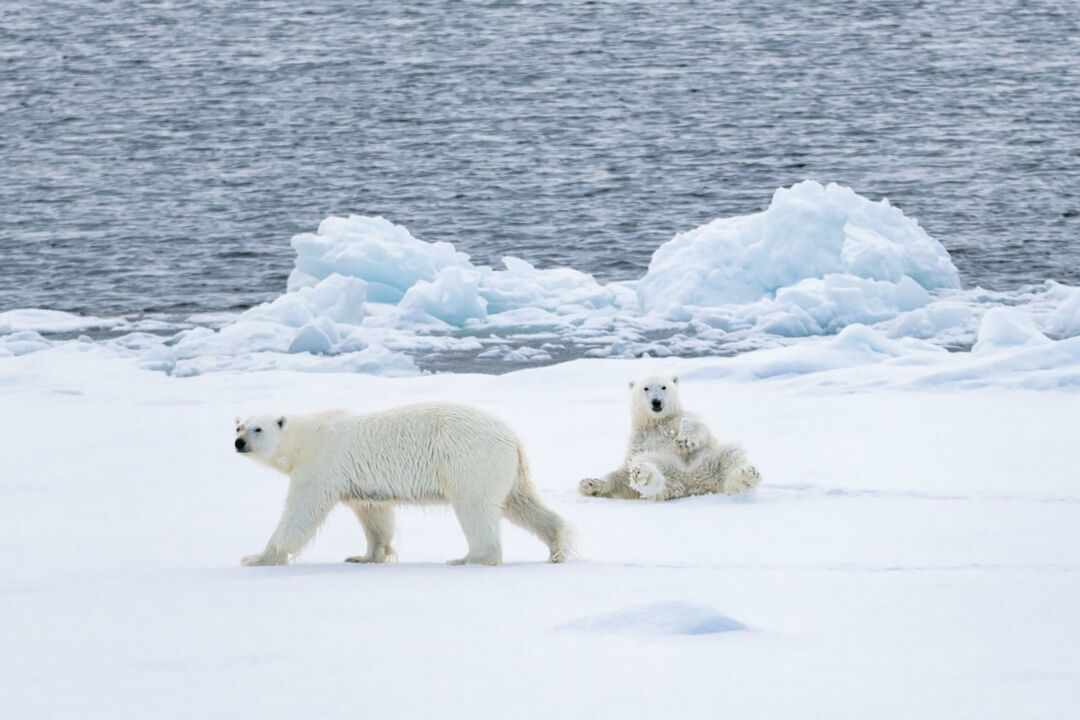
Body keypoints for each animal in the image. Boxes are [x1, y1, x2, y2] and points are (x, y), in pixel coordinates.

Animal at [234, 403, 574, 565]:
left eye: (257, 429)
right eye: (238, 426)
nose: (238, 443)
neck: (305, 438)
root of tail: (512, 436)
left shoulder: (320, 465)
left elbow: (300, 513)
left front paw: (257, 557)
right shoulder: (359, 481)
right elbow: (374, 515)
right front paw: (365, 556)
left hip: (469, 460)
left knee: (476, 507)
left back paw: (470, 558)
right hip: (507, 470)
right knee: (523, 503)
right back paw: (558, 547)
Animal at [583, 377, 760, 500]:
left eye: (664, 387)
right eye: (646, 388)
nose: (656, 402)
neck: (657, 422)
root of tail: (691, 484)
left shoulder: (678, 419)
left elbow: (699, 427)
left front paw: (684, 440)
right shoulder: (638, 439)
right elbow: (625, 471)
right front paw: (589, 484)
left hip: (709, 460)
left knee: (730, 454)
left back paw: (746, 476)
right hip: (666, 468)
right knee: (651, 474)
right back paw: (643, 474)